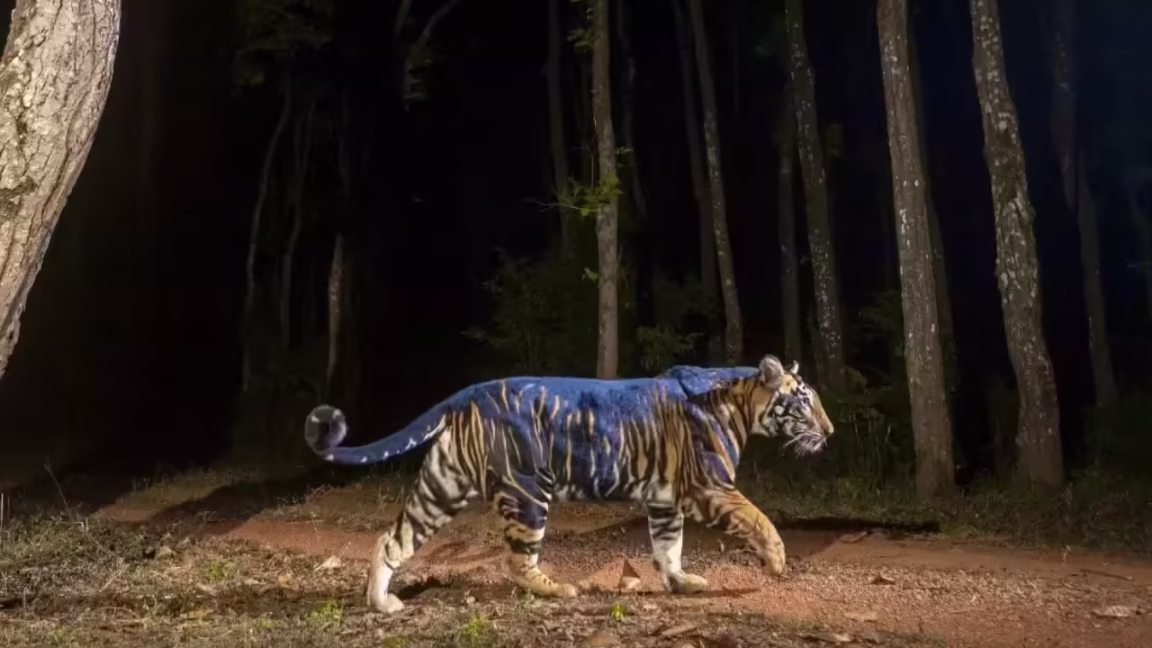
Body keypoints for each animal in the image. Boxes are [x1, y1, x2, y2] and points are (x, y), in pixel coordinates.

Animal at [303, 354, 833, 614]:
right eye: (805, 401)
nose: (829, 432)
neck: (741, 401)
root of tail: (469, 392)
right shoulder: (710, 486)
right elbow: (759, 519)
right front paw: (777, 562)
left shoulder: (665, 499)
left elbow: (669, 546)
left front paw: (681, 583)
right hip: (527, 492)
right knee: (517, 561)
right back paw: (558, 589)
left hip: (442, 486)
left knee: (393, 540)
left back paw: (382, 604)